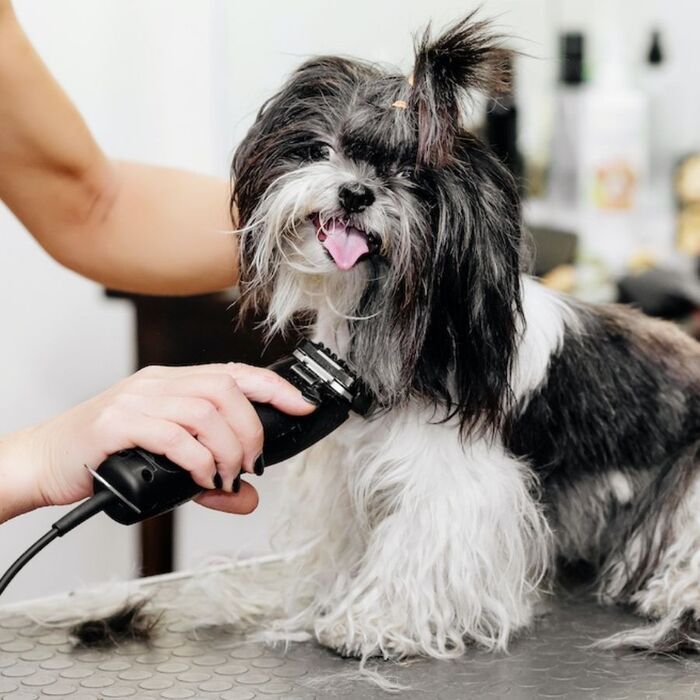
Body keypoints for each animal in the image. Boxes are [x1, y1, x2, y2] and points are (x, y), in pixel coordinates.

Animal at [230, 15, 700, 660]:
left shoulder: (457, 479)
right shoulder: (347, 463)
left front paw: (371, 623)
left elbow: (419, 545)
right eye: (325, 150)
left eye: (412, 179)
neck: (390, 315)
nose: (356, 192)